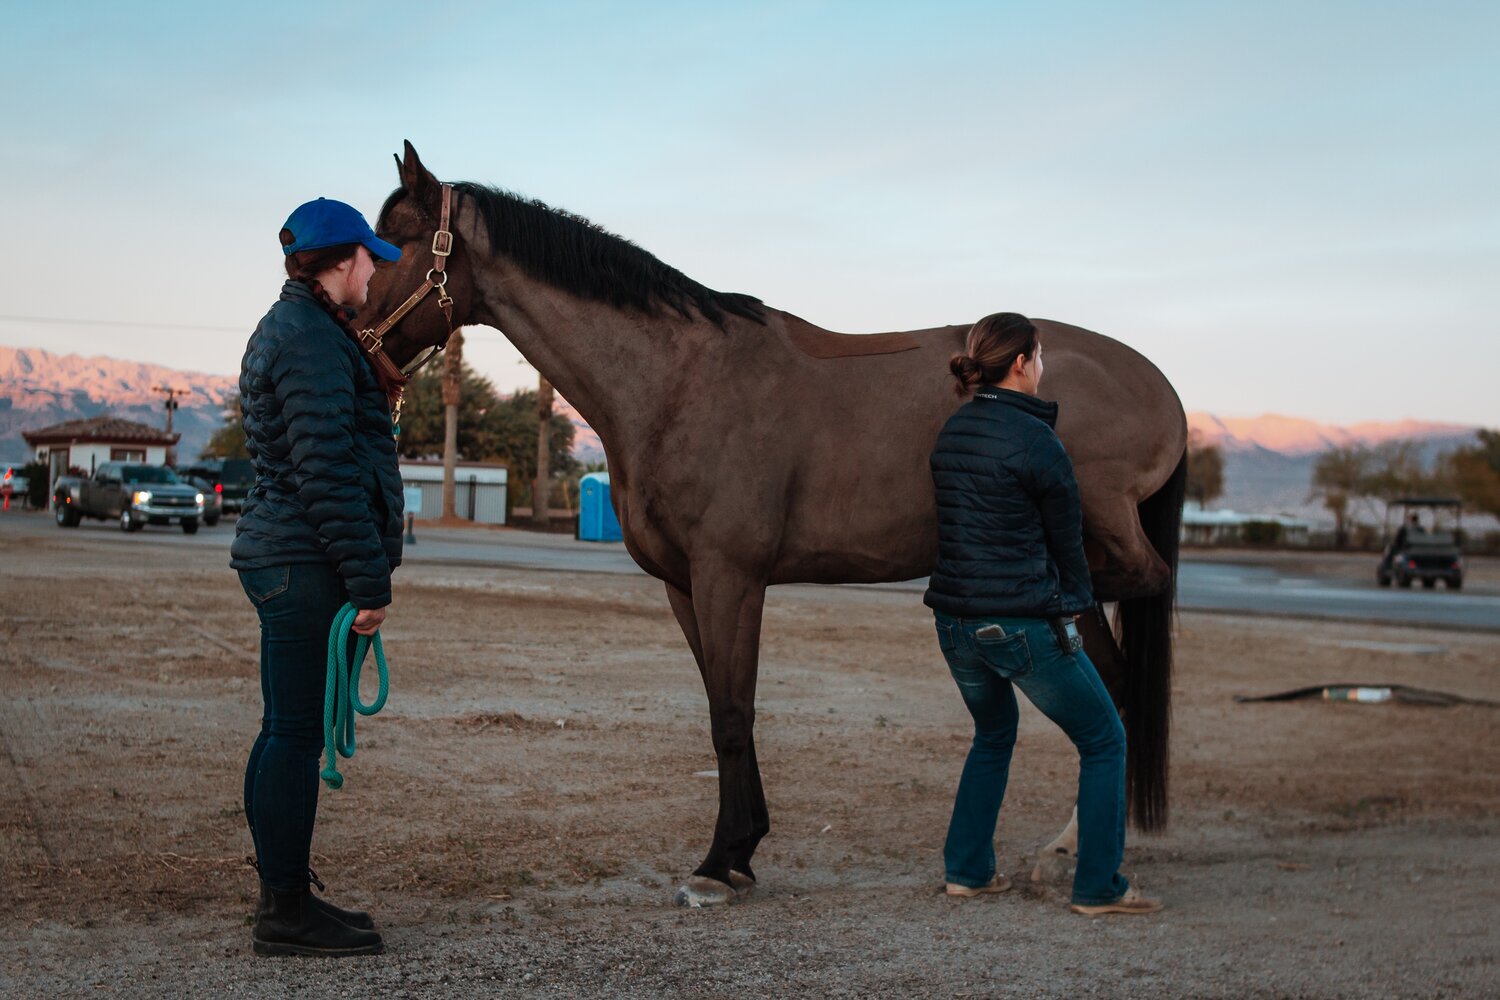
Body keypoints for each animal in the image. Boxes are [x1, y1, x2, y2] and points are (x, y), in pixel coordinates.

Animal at [359, 142, 1187, 906]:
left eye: (394, 243)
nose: (353, 335)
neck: (676, 380)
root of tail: (1161, 386)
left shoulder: (731, 577)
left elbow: (733, 713)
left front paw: (719, 861)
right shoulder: (684, 586)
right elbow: (721, 710)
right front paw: (742, 848)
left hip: (1092, 537)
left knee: (1132, 607)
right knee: (1112, 687)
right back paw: (1069, 848)